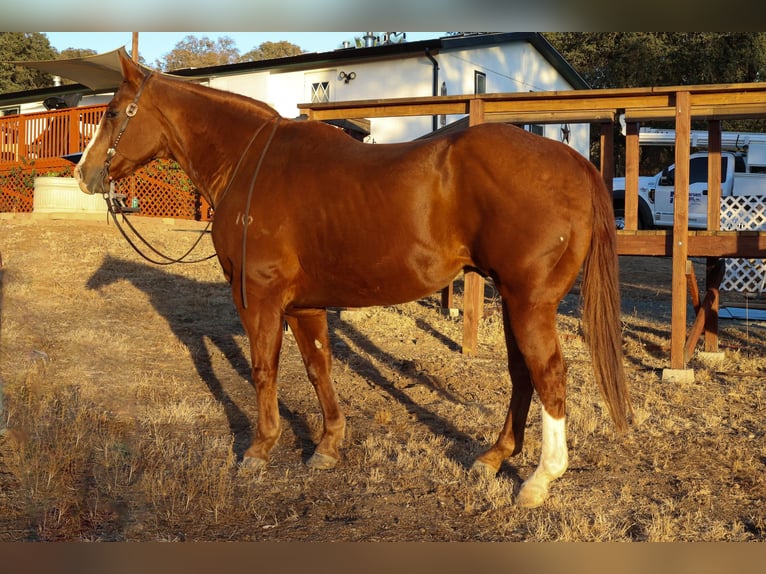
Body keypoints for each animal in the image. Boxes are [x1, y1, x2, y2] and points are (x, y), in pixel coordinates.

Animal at [75, 49, 631, 508]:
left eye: (111, 112)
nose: (83, 173)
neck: (252, 165)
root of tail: (574, 162)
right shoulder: (303, 305)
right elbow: (318, 368)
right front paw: (327, 446)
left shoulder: (259, 298)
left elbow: (263, 370)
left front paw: (258, 451)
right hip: (516, 301)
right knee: (522, 374)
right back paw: (492, 459)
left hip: (530, 302)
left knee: (549, 375)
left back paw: (540, 479)